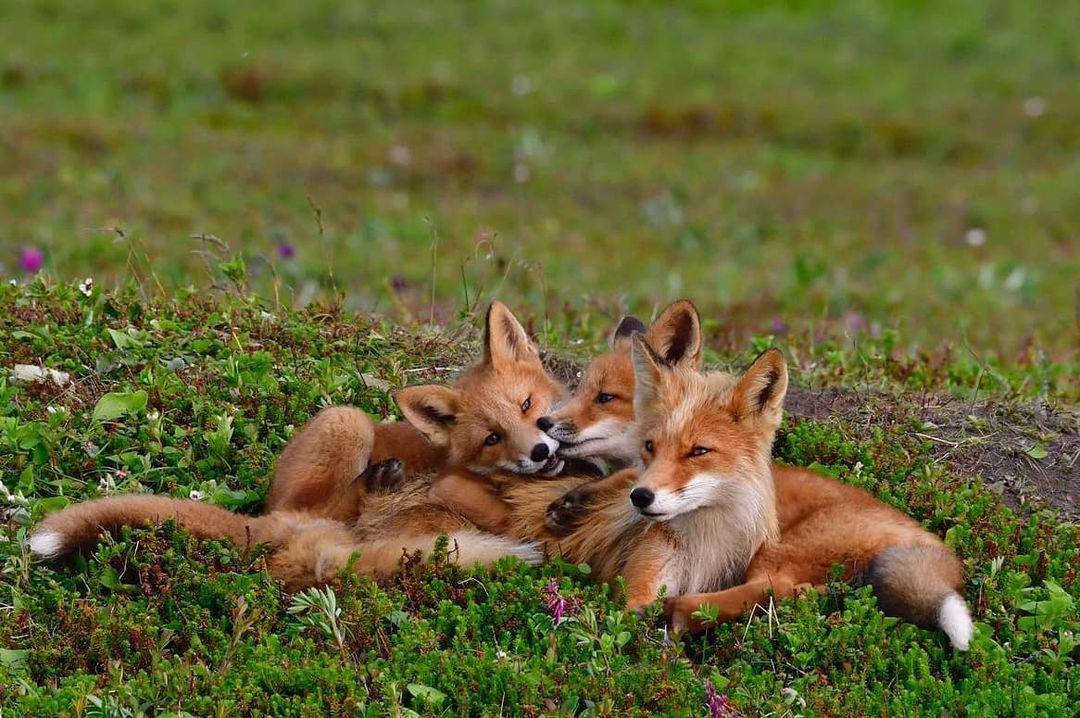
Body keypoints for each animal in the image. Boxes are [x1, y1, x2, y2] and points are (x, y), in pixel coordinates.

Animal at [27, 300, 574, 587]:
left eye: (527, 405)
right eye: (492, 438)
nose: (540, 452)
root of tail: (267, 519)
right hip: (347, 423)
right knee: (335, 510)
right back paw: (381, 484)